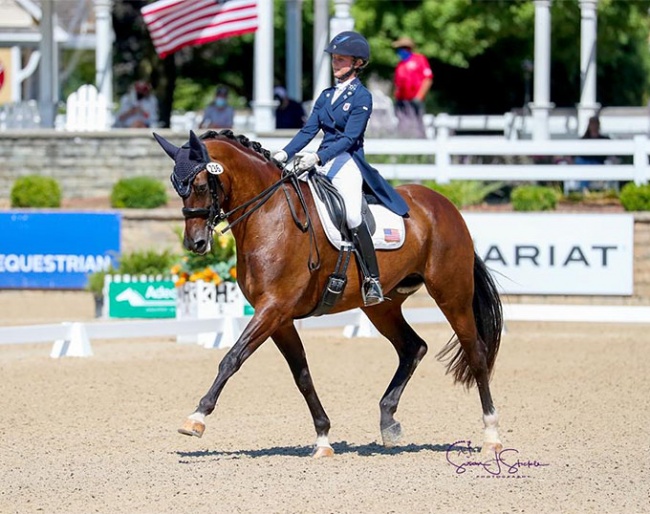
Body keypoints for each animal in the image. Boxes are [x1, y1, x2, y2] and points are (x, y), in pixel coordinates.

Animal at [153, 129, 502, 456]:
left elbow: (232, 358)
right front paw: (322, 437)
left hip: (452, 295)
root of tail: (444, 204)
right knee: (412, 347)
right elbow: (302, 375)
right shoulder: (280, 318)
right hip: (381, 306)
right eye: (176, 186)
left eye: (200, 185)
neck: (269, 215)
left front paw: (196, 418)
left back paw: (491, 435)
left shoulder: (273, 308)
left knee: (476, 353)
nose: (196, 243)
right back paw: (389, 422)